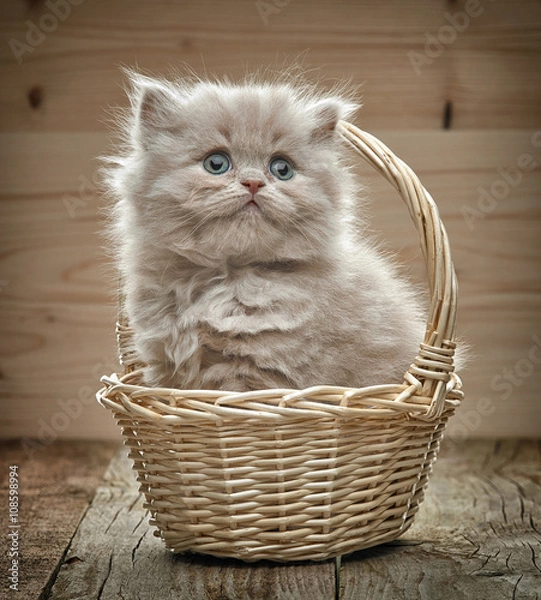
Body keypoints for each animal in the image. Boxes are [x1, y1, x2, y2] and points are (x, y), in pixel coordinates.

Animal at [103, 70, 428, 392]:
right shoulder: (164, 368)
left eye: (281, 168)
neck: (229, 280)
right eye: (216, 163)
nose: (253, 182)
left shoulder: (258, 378)